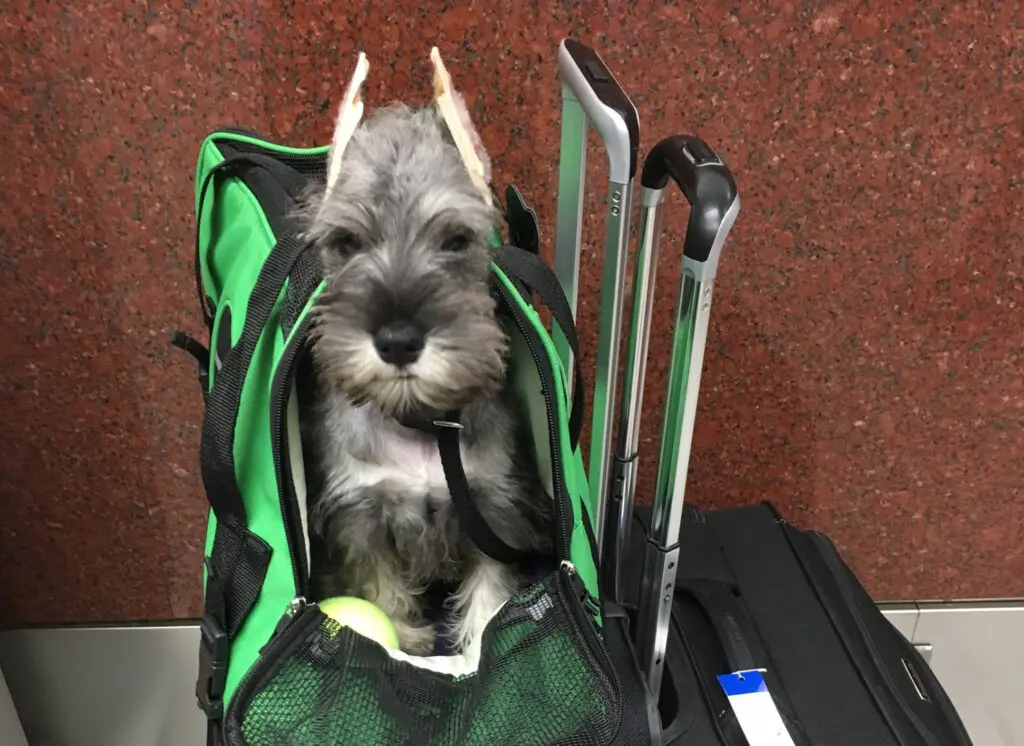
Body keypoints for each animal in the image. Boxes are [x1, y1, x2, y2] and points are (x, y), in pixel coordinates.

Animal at [296, 96, 552, 659]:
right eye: (346, 242)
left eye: (457, 239)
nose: (397, 341)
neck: (419, 424)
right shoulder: (361, 517)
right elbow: (379, 589)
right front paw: (404, 638)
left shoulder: (494, 512)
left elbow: (490, 591)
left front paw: (478, 643)